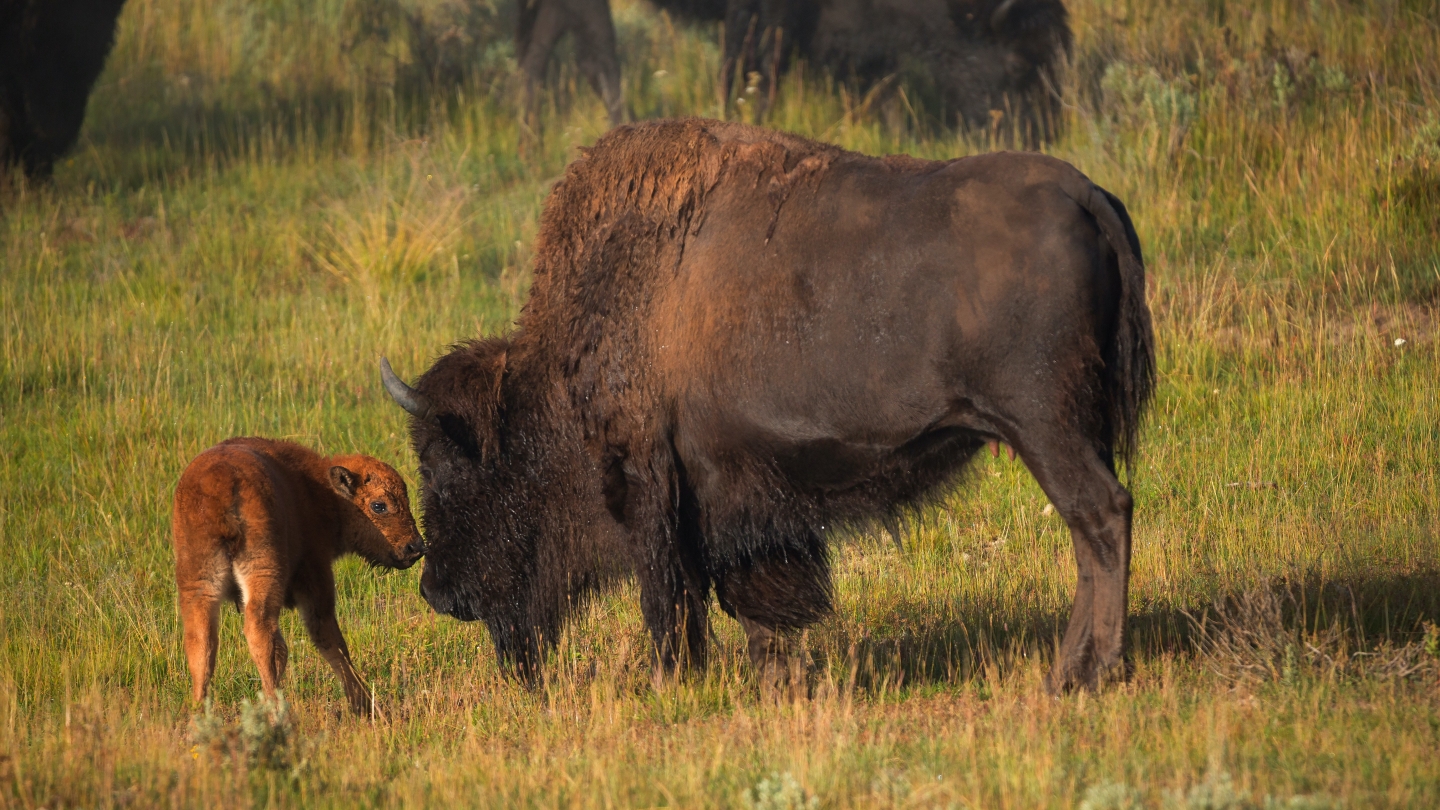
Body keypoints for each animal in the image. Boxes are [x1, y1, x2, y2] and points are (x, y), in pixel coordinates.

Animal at [173, 435, 420, 711]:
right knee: (263, 635)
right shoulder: (317, 578)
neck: (319, 491)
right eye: (379, 505)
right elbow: (333, 643)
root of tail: (220, 484)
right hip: (264, 570)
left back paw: (199, 712)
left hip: (197, 580)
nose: (415, 547)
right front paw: (364, 706)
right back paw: (276, 707)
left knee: (200, 642)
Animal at [380, 116, 1146, 691]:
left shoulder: (650, 482)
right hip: (1074, 427)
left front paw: (671, 682)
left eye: (446, 465)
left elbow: (671, 599)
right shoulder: (735, 494)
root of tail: (1085, 192)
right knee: (1093, 526)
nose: (435, 591)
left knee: (1100, 516)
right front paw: (774, 677)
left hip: (1043, 427)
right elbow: (747, 594)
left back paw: (1081, 673)